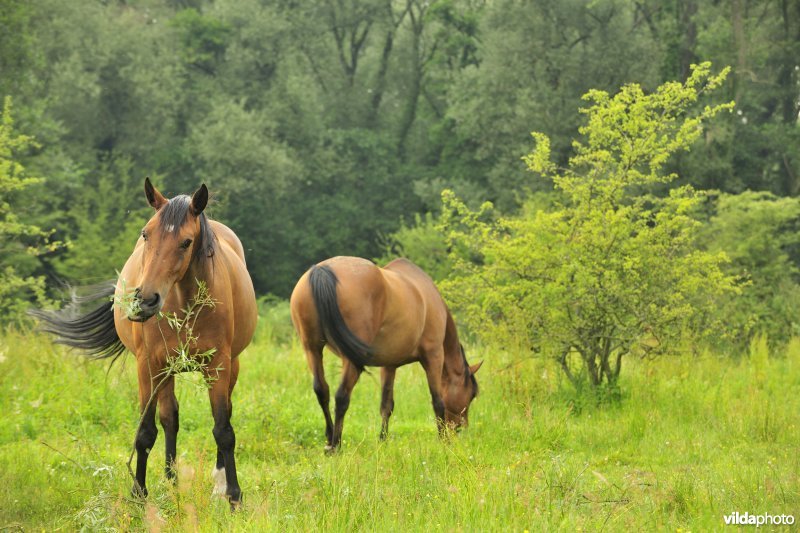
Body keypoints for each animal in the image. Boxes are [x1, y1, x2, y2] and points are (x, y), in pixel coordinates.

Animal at [34, 179, 256, 508]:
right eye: (145, 234)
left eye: (186, 242)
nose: (146, 300)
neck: (183, 302)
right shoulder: (148, 366)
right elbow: (146, 431)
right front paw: (139, 494)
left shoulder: (218, 366)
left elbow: (223, 429)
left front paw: (234, 496)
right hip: (165, 371)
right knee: (170, 418)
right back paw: (171, 481)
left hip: (230, 366)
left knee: (220, 412)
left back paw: (215, 482)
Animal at [292, 255, 482, 448]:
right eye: (472, 394)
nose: (460, 427)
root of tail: (323, 270)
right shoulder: (433, 356)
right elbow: (438, 401)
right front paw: (444, 441)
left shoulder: (389, 365)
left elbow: (386, 405)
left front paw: (382, 439)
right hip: (350, 359)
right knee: (342, 396)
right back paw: (335, 445)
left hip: (312, 349)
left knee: (322, 390)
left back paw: (330, 437)